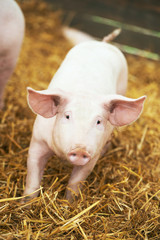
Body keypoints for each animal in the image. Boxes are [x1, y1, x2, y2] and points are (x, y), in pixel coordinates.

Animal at [22, 26, 146, 202]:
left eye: (99, 121)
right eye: (67, 116)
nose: (80, 149)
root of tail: (102, 43)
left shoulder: (91, 158)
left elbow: (75, 183)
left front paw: (69, 203)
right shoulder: (37, 141)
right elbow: (32, 179)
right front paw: (24, 204)